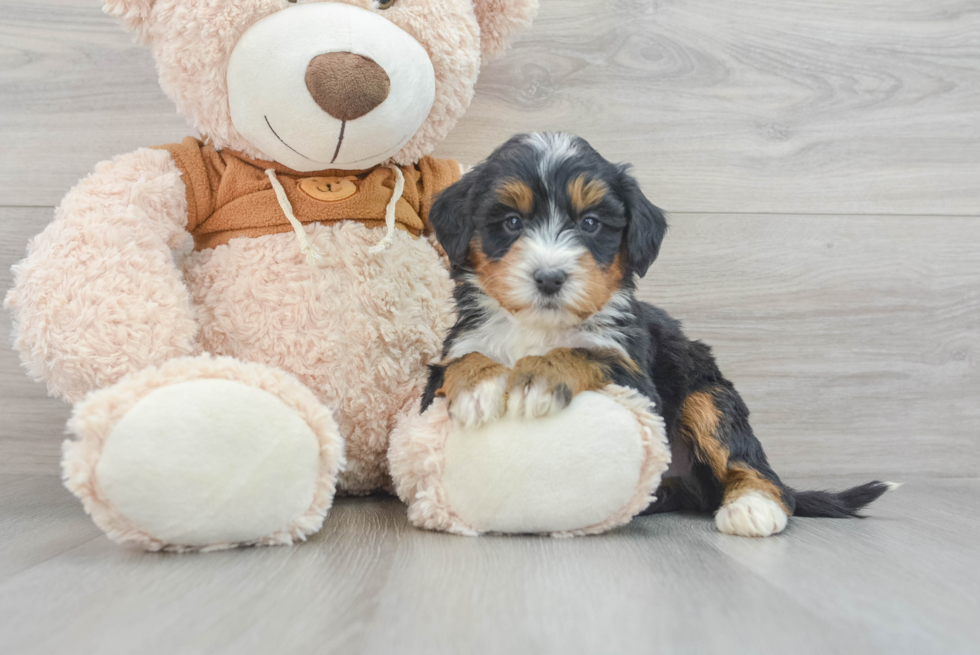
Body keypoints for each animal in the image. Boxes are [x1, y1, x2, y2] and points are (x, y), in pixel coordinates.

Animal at [422, 133, 896, 540]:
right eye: (511, 221)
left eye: (590, 223)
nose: (550, 278)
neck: (539, 326)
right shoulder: (452, 353)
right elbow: (462, 360)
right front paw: (480, 386)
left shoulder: (634, 372)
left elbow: (584, 352)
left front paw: (537, 376)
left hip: (707, 395)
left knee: (754, 466)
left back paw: (753, 506)